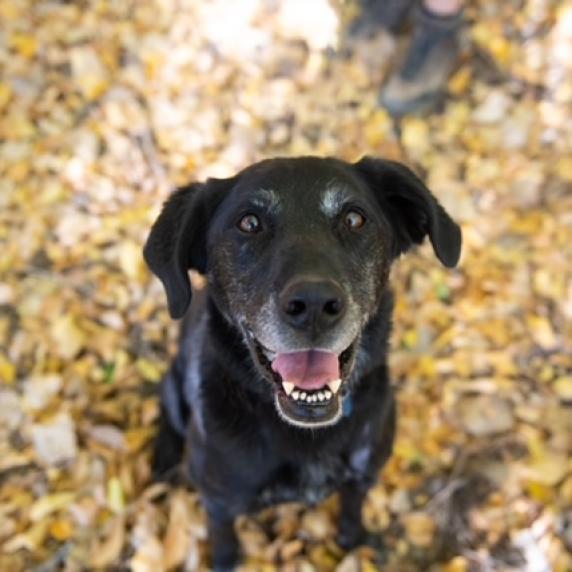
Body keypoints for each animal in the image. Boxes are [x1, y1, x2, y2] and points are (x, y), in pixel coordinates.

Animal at [143, 154, 460, 568]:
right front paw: (227, 560)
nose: (313, 305)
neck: (306, 437)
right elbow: (225, 539)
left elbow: (352, 509)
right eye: (249, 223)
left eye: (354, 218)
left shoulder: (363, 476)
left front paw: (353, 540)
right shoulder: (219, 502)